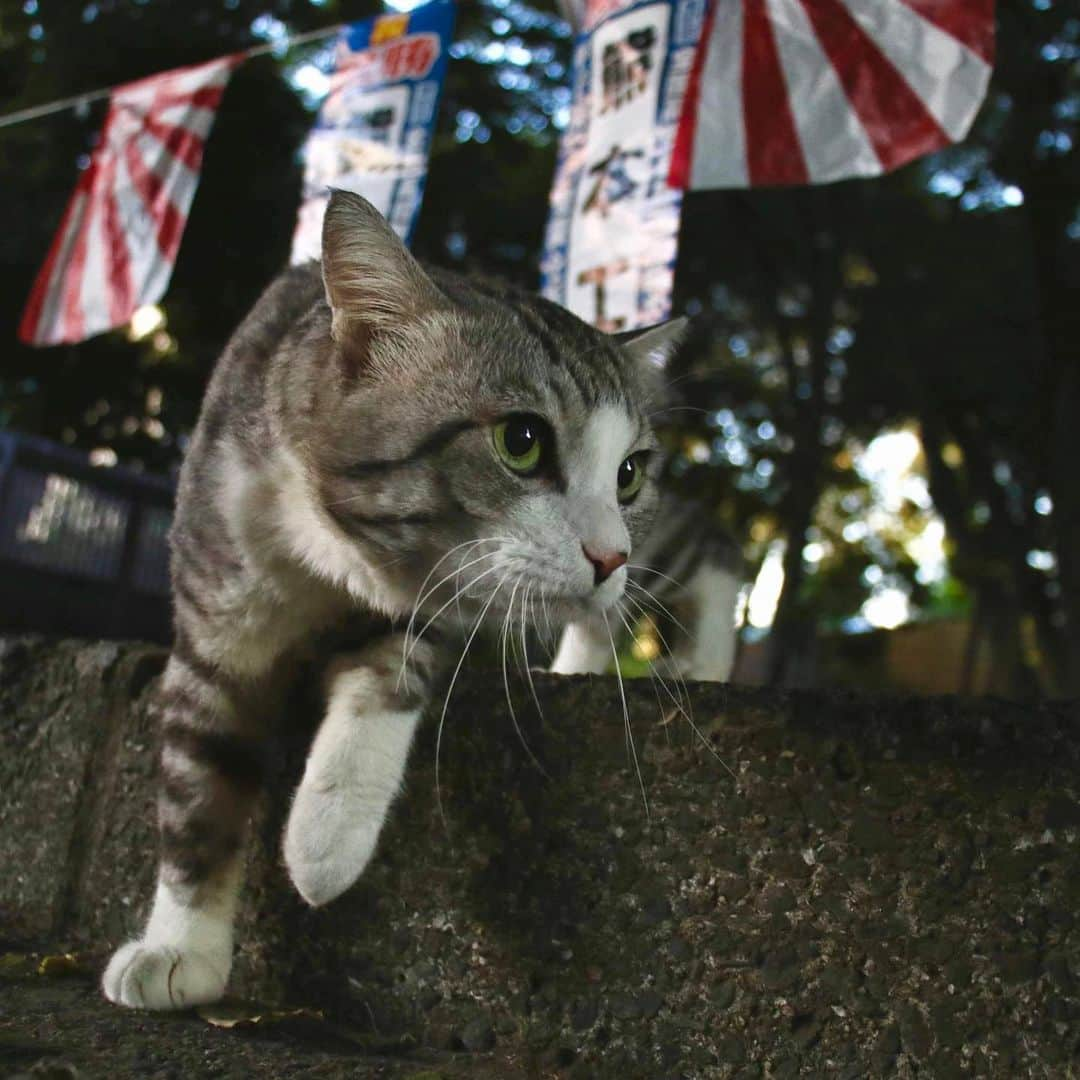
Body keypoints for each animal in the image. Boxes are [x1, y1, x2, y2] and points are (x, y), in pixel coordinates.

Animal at [105, 190, 686, 1006]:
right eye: (522, 441)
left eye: (630, 474)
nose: (612, 558)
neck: (333, 562)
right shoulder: (217, 617)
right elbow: (198, 784)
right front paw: (179, 946)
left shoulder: (433, 600)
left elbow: (391, 675)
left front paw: (326, 839)